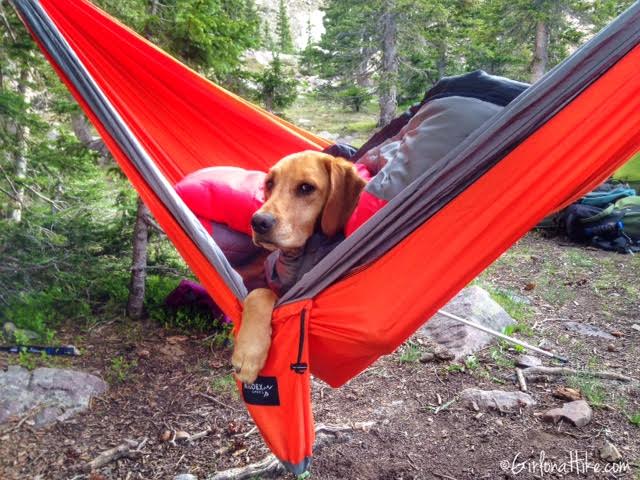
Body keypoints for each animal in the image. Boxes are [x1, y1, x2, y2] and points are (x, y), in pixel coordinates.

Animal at [230, 152, 364, 384]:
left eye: (306, 188)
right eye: (270, 183)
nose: (258, 222)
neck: (300, 255)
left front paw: (248, 353)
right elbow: (259, 293)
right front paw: (248, 351)